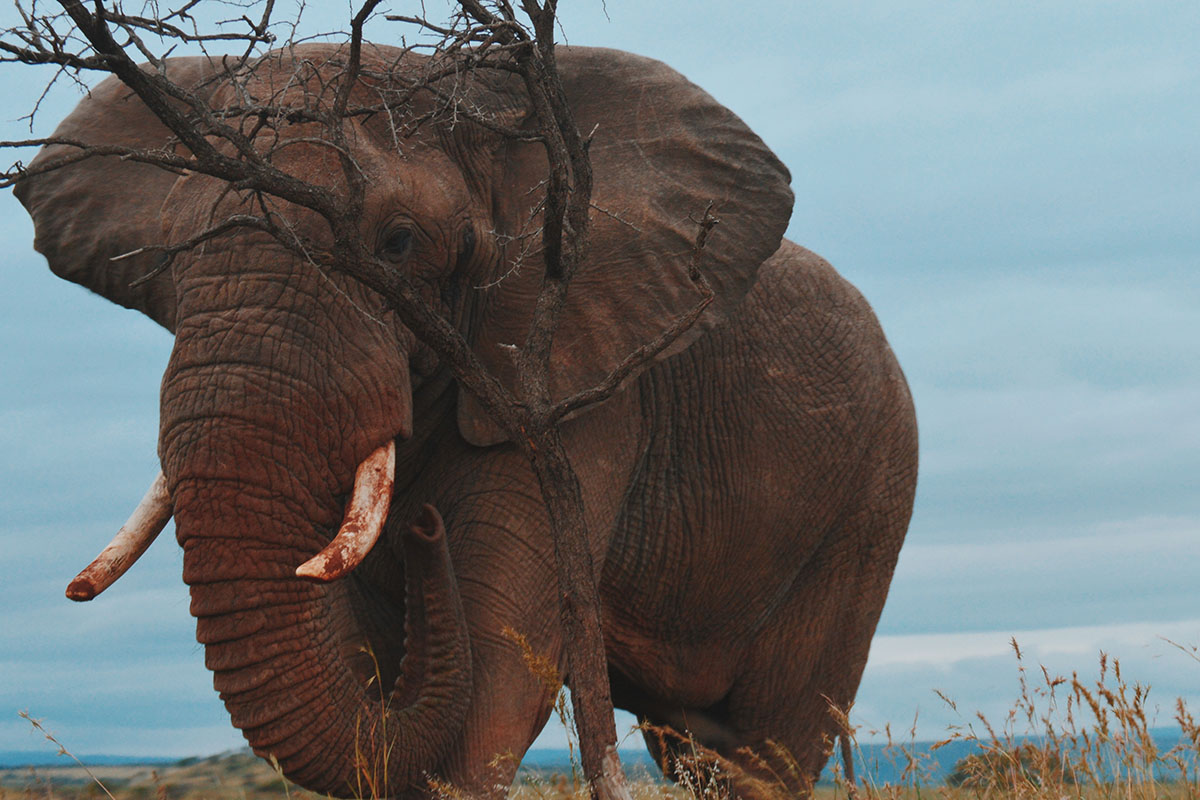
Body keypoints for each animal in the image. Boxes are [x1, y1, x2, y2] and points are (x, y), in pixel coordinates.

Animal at [15, 42, 917, 799]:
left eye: (398, 242)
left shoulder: (575, 390)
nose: (424, 531)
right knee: (692, 746)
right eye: (168, 263)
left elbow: (500, 654)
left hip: (867, 505)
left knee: (766, 747)